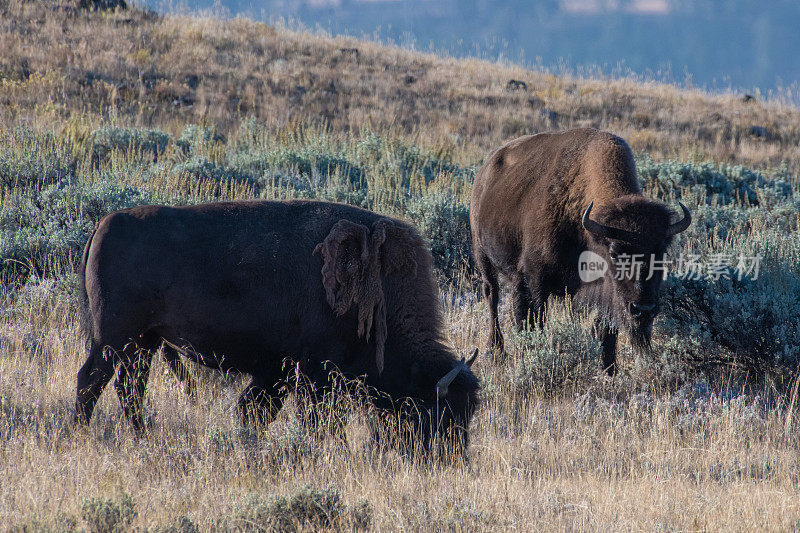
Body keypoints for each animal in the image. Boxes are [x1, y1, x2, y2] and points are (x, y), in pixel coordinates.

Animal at [75, 200, 478, 454]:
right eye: (439, 416)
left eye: (469, 413)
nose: (452, 460)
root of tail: (104, 224)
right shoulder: (317, 375)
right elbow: (321, 420)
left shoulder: (276, 372)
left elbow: (255, 410)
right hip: (114, 338)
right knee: (91, 381)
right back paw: (79, 437)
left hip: (144, 342)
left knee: (130, 389)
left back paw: (143, 438)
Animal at [472, 127, 692, 372]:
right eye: (614, 253)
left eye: (662, 253)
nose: (643, 309)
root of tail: (485, 171)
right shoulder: (533, 280)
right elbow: (531, 321)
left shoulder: (605, 294)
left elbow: (606, 332)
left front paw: (609, 371)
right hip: (483, 256)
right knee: (492, 296)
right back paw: (496, 351)